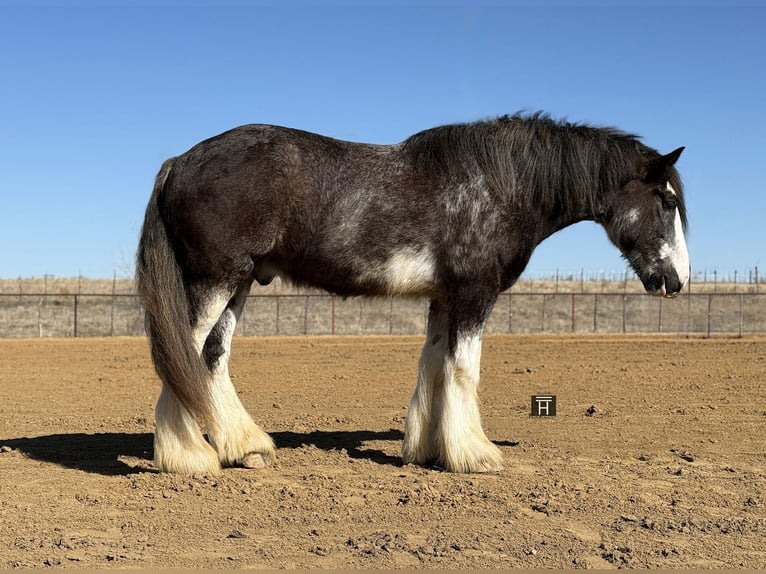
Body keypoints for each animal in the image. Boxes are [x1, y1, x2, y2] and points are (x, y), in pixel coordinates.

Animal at [136, 112, 689, 475]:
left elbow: (434, 366)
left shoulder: (444, 299)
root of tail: (179, 162)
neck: (500, 186)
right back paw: (189, 457)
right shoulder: (473, 294)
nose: (678, 280)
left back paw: (245, 448)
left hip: (241, 281)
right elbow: (464, 370)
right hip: (216, 279)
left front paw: (426, 449)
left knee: (210, 357)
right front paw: (477, 455)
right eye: (666, 200)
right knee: (183, 352)